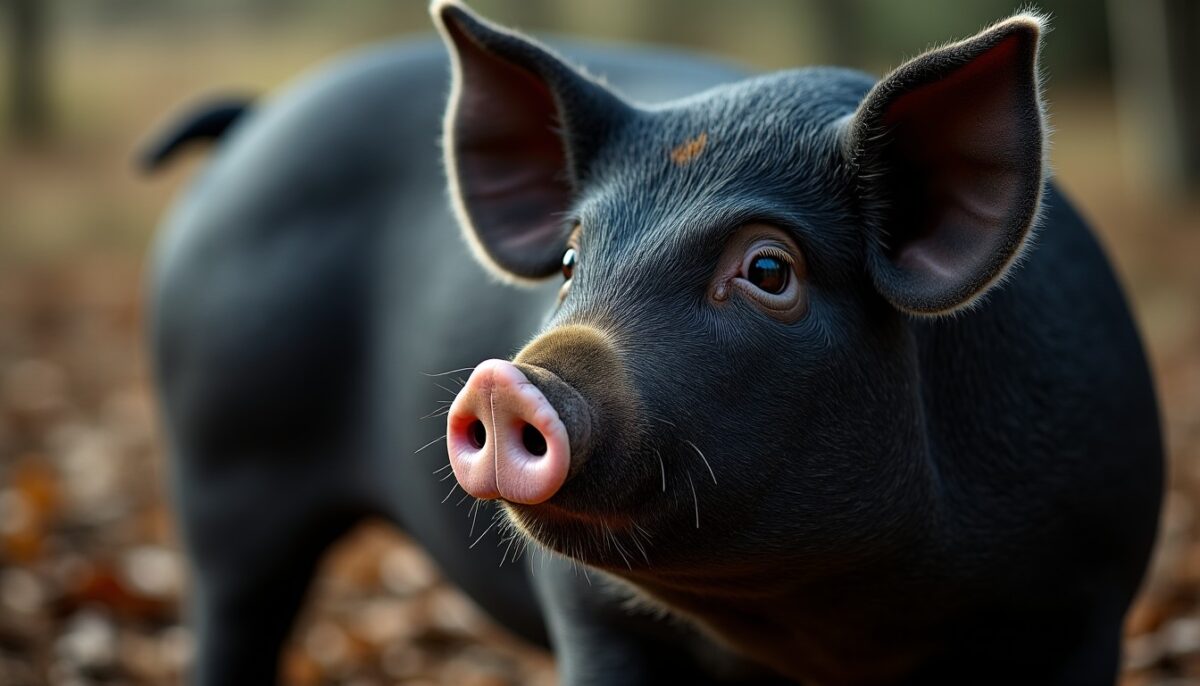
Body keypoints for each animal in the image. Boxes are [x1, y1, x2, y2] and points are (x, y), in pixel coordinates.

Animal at [143, 2, 1163, 684]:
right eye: (568, 257)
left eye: (769, 269)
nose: (506, 381)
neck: (825, 625)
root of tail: (253, 120)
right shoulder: (591, 615)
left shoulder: (1089, 600)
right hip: (221, 467)